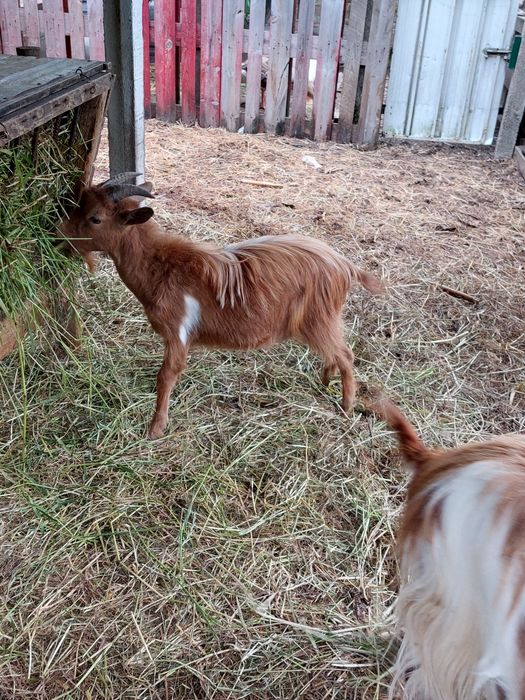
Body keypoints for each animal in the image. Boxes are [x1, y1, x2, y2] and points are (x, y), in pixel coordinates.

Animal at [63, 173, 384, 438]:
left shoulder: (178, 332)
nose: (60, 233)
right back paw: (324, 382)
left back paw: (346, 406)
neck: (162, 266)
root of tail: (345, 266)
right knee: (334, 354)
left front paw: (155, 429)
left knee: (345, 355)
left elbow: (166, 375)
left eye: (95, 218)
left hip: (319, 319)